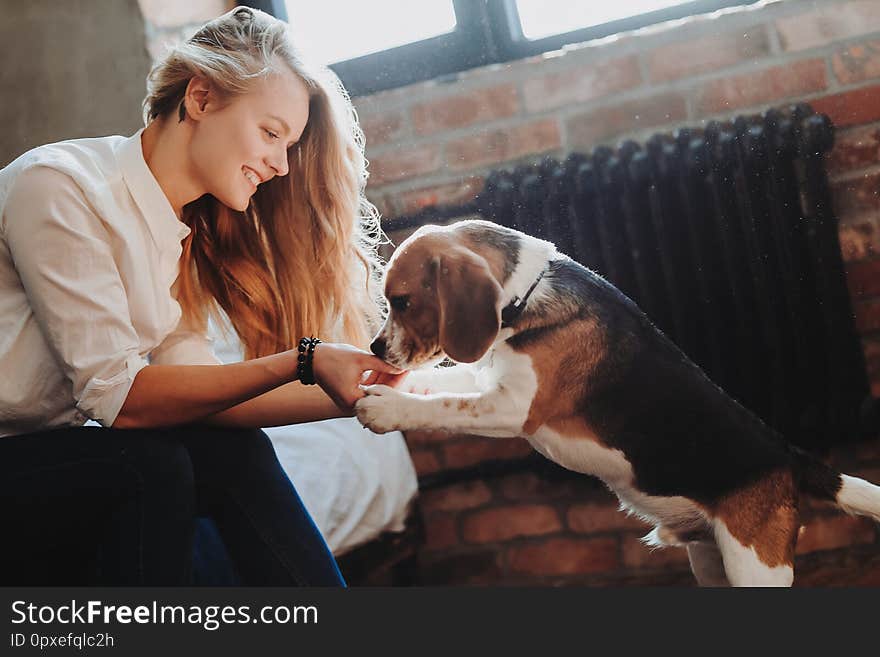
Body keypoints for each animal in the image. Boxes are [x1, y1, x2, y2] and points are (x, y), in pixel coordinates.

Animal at [356, 218, 880, 588]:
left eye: (402, 301)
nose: (375, 349)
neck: (527, 295)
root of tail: (789, 458)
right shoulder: (490, 376)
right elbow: (445, 381)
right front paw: (395, 385)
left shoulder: (513, 409)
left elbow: (448, 406)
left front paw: (387, 407)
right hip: (714, 563)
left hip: (753, 565)